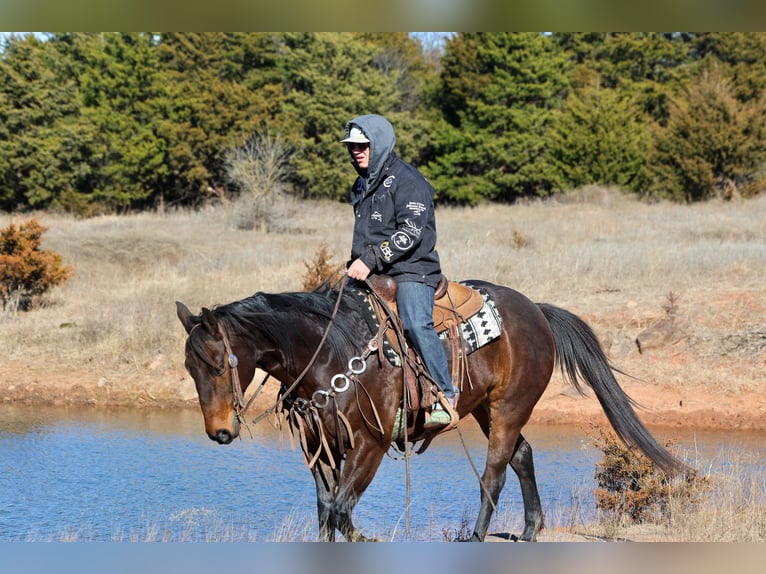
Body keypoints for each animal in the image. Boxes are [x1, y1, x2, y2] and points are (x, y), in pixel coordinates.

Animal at [176, 279, 687, 542]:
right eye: (189, 367)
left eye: (219, 364)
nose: (219, 432)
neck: (330, 354)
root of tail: (537, 312)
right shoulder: (319, 446)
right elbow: (325, 511)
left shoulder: (371, 444)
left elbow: (341, 510)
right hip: (483, 408)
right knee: (522, 456)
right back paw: (529, 531)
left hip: (508, 407)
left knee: (495, 473)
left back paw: (478, 536)